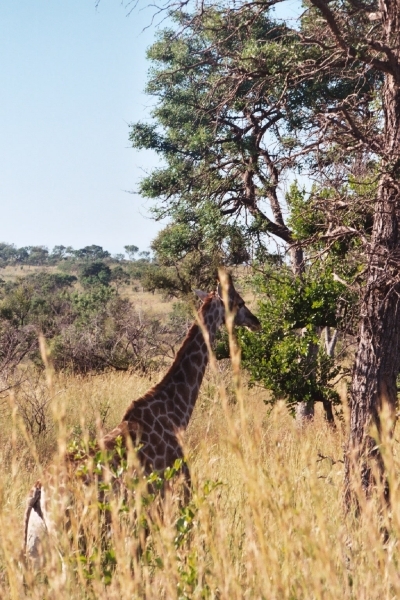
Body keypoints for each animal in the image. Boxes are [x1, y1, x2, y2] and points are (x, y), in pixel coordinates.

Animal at [24, 274, 262, 564]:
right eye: (239, 302)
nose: (256, 321)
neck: (176, 413)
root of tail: (38, 490)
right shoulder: (176, 493)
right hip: (73, 536)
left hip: (38, 545)